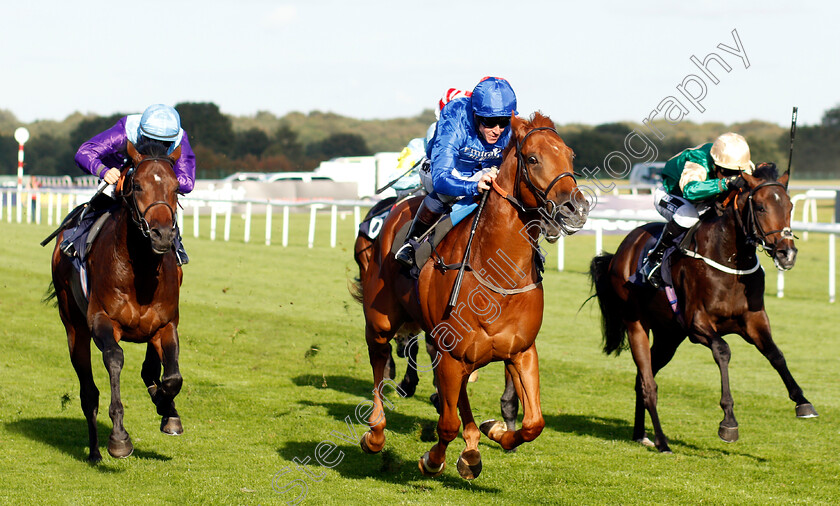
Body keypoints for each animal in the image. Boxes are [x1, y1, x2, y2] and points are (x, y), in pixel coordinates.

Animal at [46, 140, 185, 460]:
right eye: (137, 185)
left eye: (175, 187)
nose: (162, 235)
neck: (141, 274)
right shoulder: (102, 321)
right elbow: (114, 358)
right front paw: (119, 438)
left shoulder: (166, 324)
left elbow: (172, 377)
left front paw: (166, 408)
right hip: (74, 328)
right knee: (88, 391)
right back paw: (95, 451)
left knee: (152, 367)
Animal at [352, 112, 588, 480]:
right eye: (533, 158)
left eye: (570, 155)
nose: (575, 208)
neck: (496, 274)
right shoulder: (451, 354)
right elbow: (447, 424)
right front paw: (432, 459)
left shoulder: (520, 351)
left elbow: (533, 423)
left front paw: (495, 432)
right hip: (381, 320)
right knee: (380, 361)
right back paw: (375, 432)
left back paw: (473, 446)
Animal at [588, 163, 816, 454]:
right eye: (761, 207)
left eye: (789, 205)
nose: (788, 254)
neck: (730, 259)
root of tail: (623, 248)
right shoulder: (697, 324)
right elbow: (723, 350)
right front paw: (728, 422)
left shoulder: (754, 321)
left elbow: (776, 354)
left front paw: (803, 402)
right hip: (636, 323)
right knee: (648, 384)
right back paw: (662, 442)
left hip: (669, 336)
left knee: (642, 380)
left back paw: (641, 434)